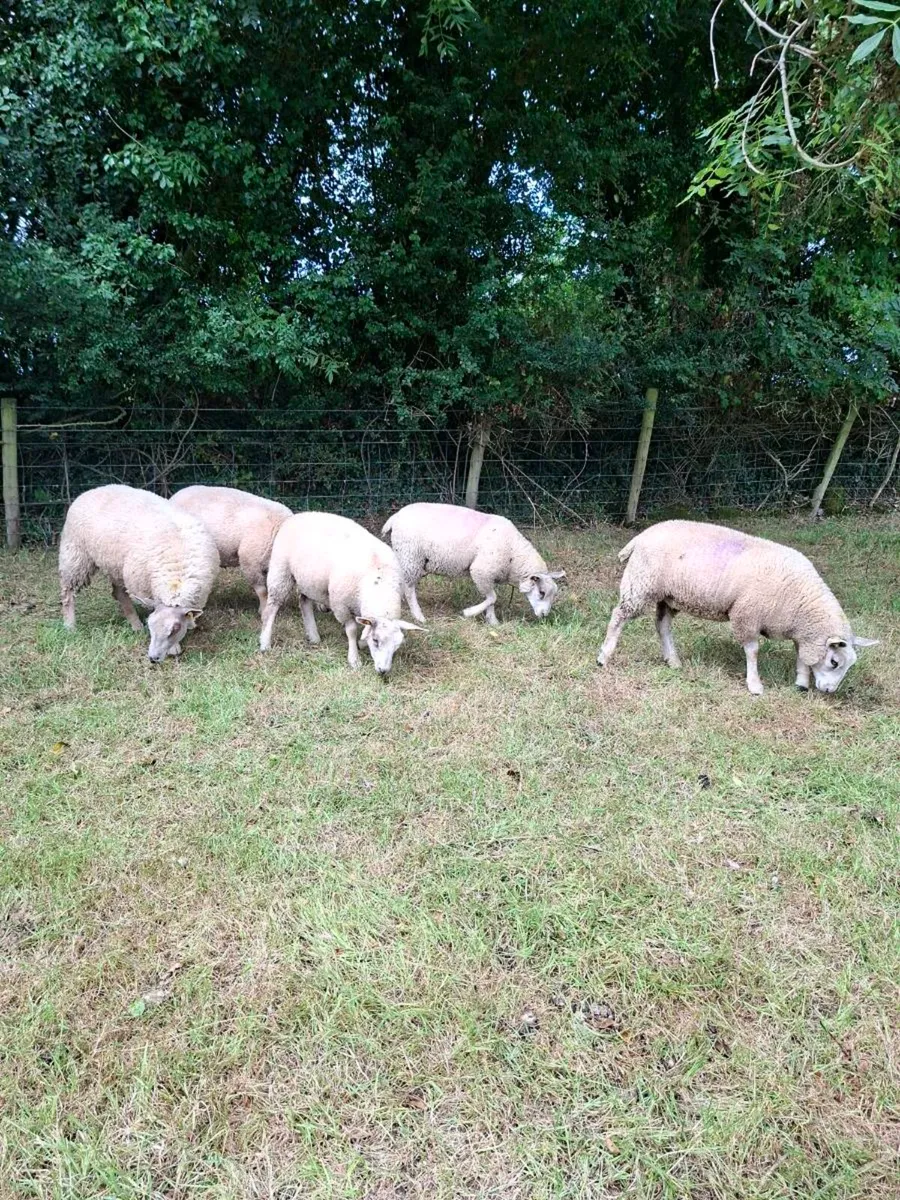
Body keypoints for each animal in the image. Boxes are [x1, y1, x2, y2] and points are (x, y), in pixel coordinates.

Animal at [58, 484, 219, 662]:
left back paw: (134, 624)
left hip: (116, 566)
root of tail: (93, 490)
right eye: (151, 626)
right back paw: (70, 625)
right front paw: (174, 649)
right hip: (75, 555)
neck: (175, 580)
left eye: (175, 629)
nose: (153, 658)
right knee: (67, 593)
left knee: (119, 593)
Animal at [259, 511, 423, 674]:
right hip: (281, 571)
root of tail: (299, 515)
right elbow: (351, 630)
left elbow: (365, 628)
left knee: (304, 602)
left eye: (397, 645)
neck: (379, 579)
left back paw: (313, 636)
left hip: (309, 580)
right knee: (272, 608)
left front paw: (361, 642)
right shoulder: (341, 606)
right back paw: (265, 643)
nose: (383, 670)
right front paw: (354, 659)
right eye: (376, 640)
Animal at [381, 502, 566, 625]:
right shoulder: (481, 570)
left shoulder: (490, 574)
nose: (544, 615)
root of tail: (396, 516)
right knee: (409, 588)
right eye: (541, 592)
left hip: (409, 558)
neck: (514, 553)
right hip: (411, 556)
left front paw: (493, 621)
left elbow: (491, 599)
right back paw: (418, 615)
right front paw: (469, 613)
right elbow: (493, 597)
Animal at [596, 519, 878, 694]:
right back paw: (603, 656)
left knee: (662, 625)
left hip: (669, 595)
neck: (803, 603)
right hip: (640, 584)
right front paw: (755, 685)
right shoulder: (747, 615)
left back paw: (672, 660)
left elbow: (801, 658)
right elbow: (753, 651)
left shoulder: (802, 634)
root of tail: (641, 536)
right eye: (834, 662)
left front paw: (800, 683)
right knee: (618, 616)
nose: (830, 691)